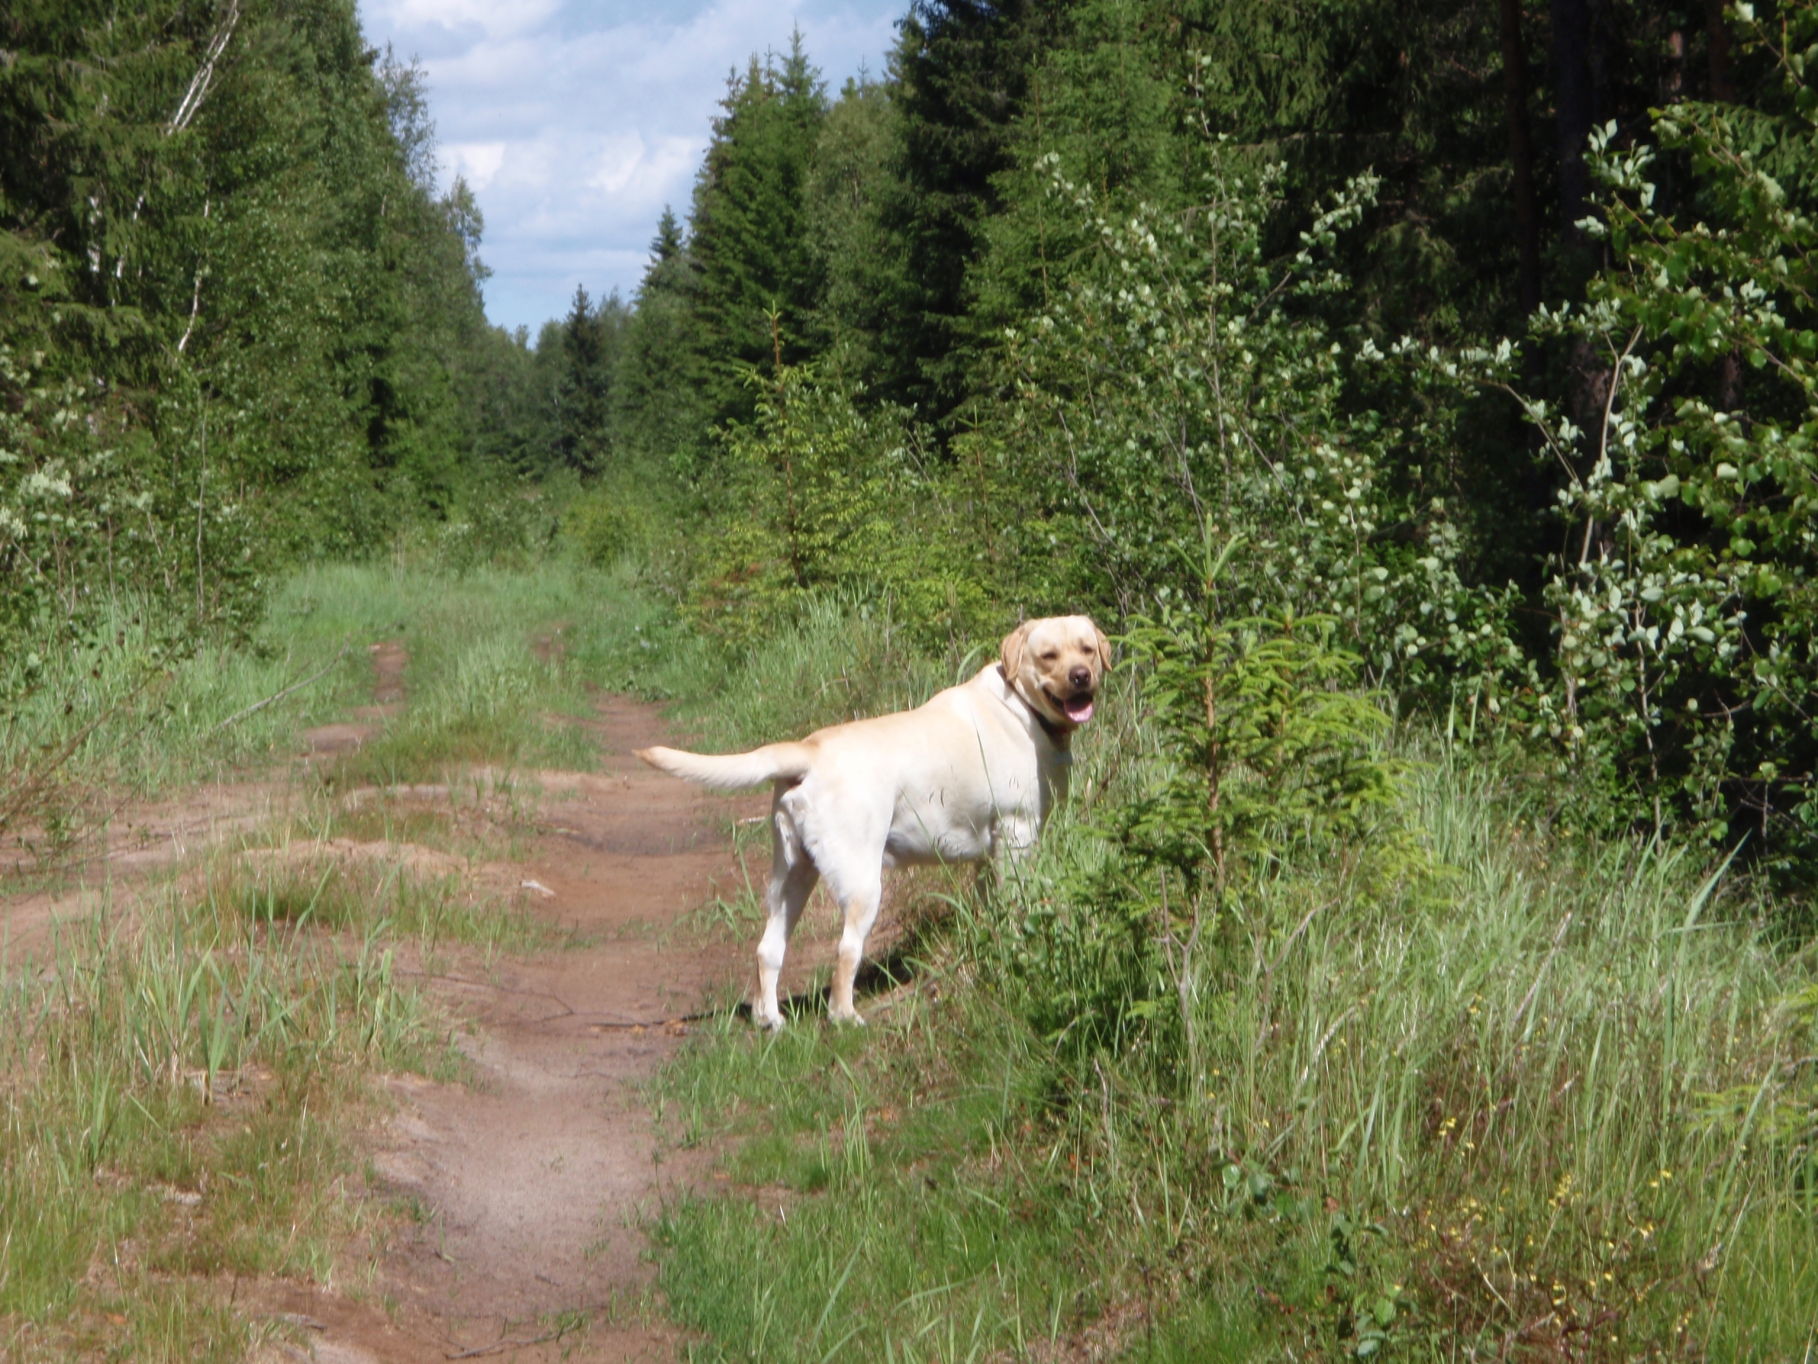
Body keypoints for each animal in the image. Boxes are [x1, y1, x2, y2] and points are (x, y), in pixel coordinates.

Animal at [637, 616, 1110, 1029]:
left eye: (1086, 648)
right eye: (1048, 656)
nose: (1081, 676)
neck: (1021, 707)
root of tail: (808, 750)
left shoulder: (987, 850)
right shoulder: (1016, 835)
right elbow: (1015, 905)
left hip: (792, 874)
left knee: (768, 948)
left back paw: (770, 1019)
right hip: (862, 882)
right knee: (846, 952)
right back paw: (845, 1017)